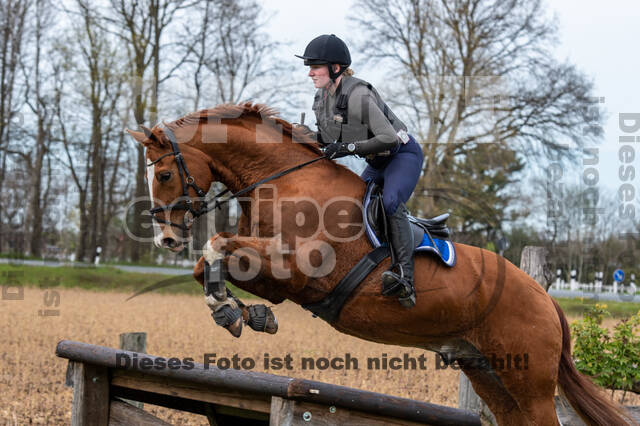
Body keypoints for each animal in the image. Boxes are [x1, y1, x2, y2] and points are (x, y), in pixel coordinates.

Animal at [127, 104, 632, 426]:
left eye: (164, 173)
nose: (166, 238)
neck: (283, 183)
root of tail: (547, 299)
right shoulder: (276, 278)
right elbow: (210, 263)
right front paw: (239, 312)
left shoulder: (298, 270)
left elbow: (215, 245)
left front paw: (235, 310)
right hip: (490, 374)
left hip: (529, 381)